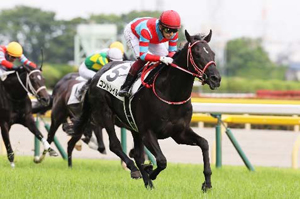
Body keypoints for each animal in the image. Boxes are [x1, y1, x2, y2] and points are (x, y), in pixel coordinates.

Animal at [74, 29, 221, 191]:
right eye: (197, 54)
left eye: (212, 53)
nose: (215, 78)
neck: (171, 94)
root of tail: (96, 75)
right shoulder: (148, 132)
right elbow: (162, 160)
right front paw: (150, 172)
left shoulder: (179, 133)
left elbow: (204, 143)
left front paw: (207, 183)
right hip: (106, 114)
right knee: (115, 145)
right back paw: (135, 170)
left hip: (133, 126)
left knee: (137, 154)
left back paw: (146, 181)